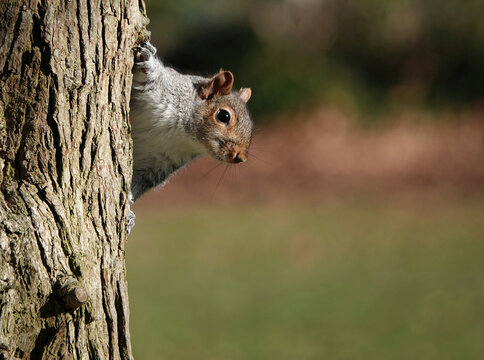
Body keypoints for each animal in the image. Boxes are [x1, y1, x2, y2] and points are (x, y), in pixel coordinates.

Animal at [126, 42, 255, 232]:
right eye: (224, 116)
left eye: (251, 126)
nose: (241, 157)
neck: (181, 134)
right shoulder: (164, 89)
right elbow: (150, 79)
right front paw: (147, 59)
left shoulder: (157, 163)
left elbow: (138, 181)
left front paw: (128, 210)